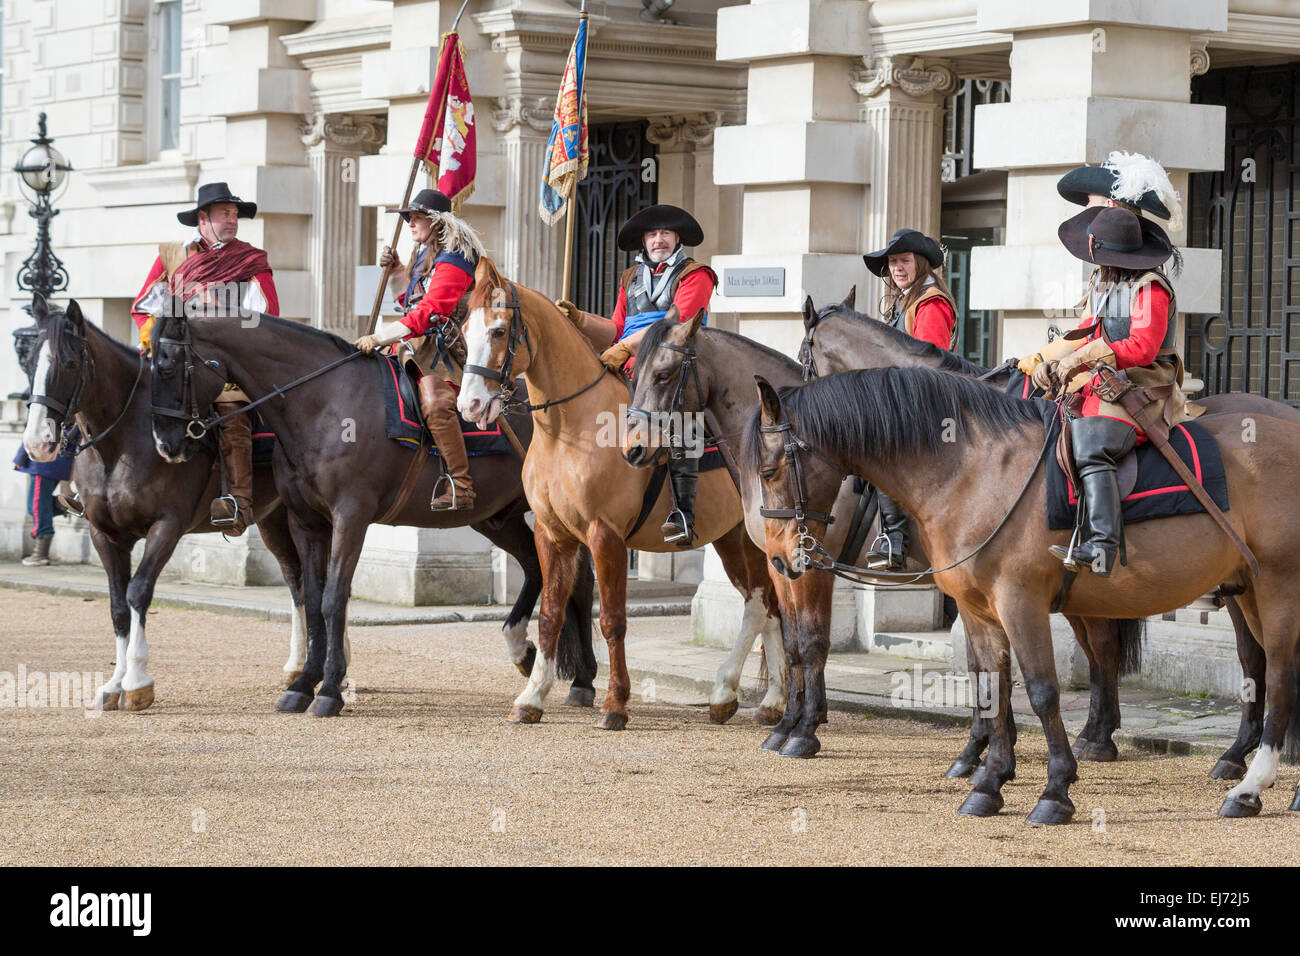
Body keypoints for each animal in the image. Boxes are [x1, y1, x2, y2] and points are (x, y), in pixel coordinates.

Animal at [21, 297, 305, 712]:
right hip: (273, 520)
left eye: (70, 363)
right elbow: (117, 604)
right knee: (297, 580)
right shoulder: (104, 534)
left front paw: (137, 681)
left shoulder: (166, 526)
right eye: (28, 361)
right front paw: (114, 683)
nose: (36, 443)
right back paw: (300, 665)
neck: (120, 445)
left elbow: (138, 592)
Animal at [149, 306, 595, 717]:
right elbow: (313, 598)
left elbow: (334, 597)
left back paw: (583, 681)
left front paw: (329, 690)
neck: (323, 402)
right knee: (539, 570)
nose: (164, 444)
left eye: (167, 367)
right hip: (495, 518)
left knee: (578, 581)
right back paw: (526, 652)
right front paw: (303, 685)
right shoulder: (306, 522)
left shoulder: (351, 516)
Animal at [748, 366, 1300, 822]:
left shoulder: (1020, 602)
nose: (779, 559)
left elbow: (1041, 690)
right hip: (1250, 590)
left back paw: (1250, 786)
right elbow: (991, 686)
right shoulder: (978, 609)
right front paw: (989, 782)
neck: (970, 471)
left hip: (1277, 586)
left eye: (770, 471)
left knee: (1277, 677)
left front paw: (1055, 791)